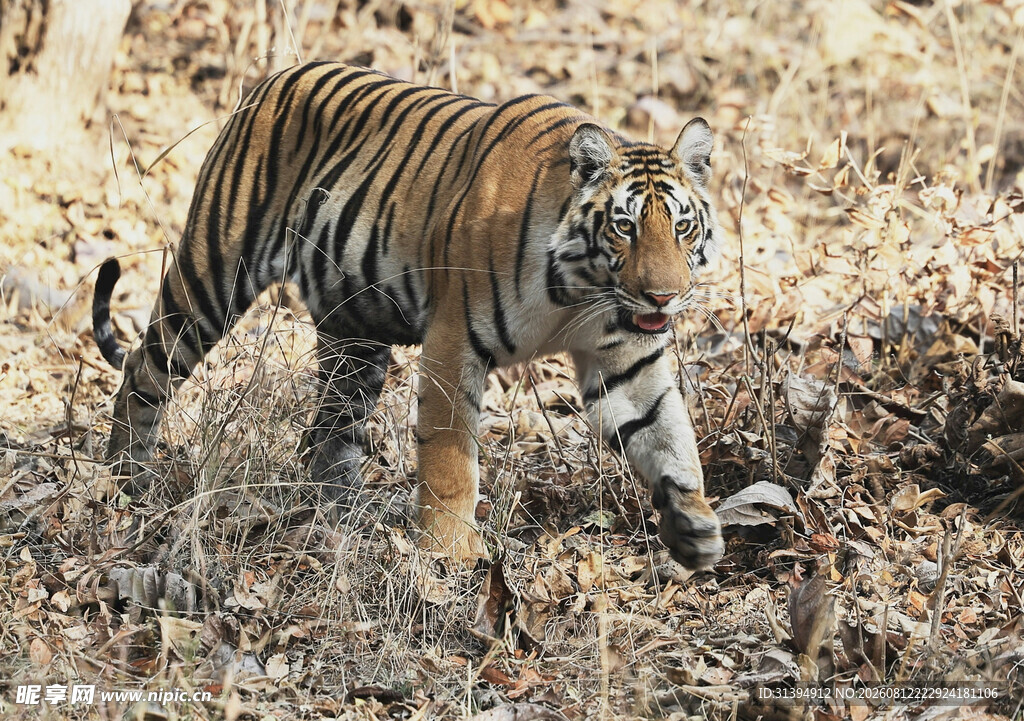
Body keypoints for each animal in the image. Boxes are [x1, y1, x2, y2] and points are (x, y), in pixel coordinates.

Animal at [92, 61, 725, 569]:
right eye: (625, 226)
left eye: (682, 226)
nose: (665, 297)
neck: (581, 291)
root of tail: (273, 78)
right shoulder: (455, 340)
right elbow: (449, 454)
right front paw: (452, 552)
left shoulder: (627, 361)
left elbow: (669, 435)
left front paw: (694, 525)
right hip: (214, 273)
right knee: (146, 368)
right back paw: (128, 476)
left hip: (354, 336)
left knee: (331, 433)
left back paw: (344, 514)